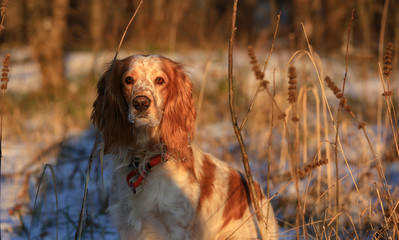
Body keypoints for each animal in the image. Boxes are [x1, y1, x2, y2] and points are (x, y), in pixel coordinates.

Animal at [90, 54, 278, 240]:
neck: (146, 158)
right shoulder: (126, 227)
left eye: (160, 80)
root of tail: (262, 198)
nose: (141, 103)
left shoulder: (176, 226)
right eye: (128, 79)